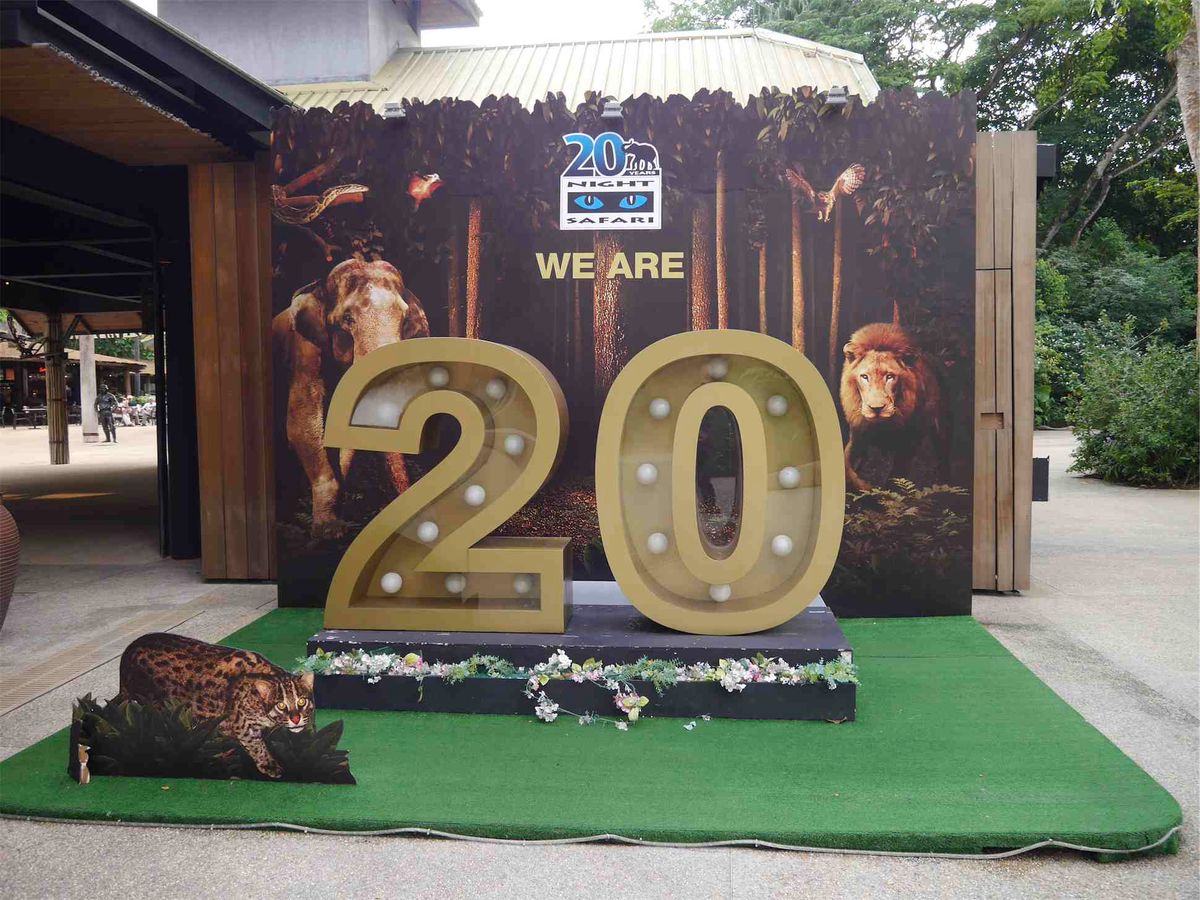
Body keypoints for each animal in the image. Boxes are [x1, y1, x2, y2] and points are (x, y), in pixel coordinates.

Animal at [840, 321, 942, 492]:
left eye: (890, 377)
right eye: (864, 377)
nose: (876, 408)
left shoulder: (909, 443)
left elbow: (896, 476)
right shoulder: (858, 436)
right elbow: (847, 467)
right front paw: (866, 488)